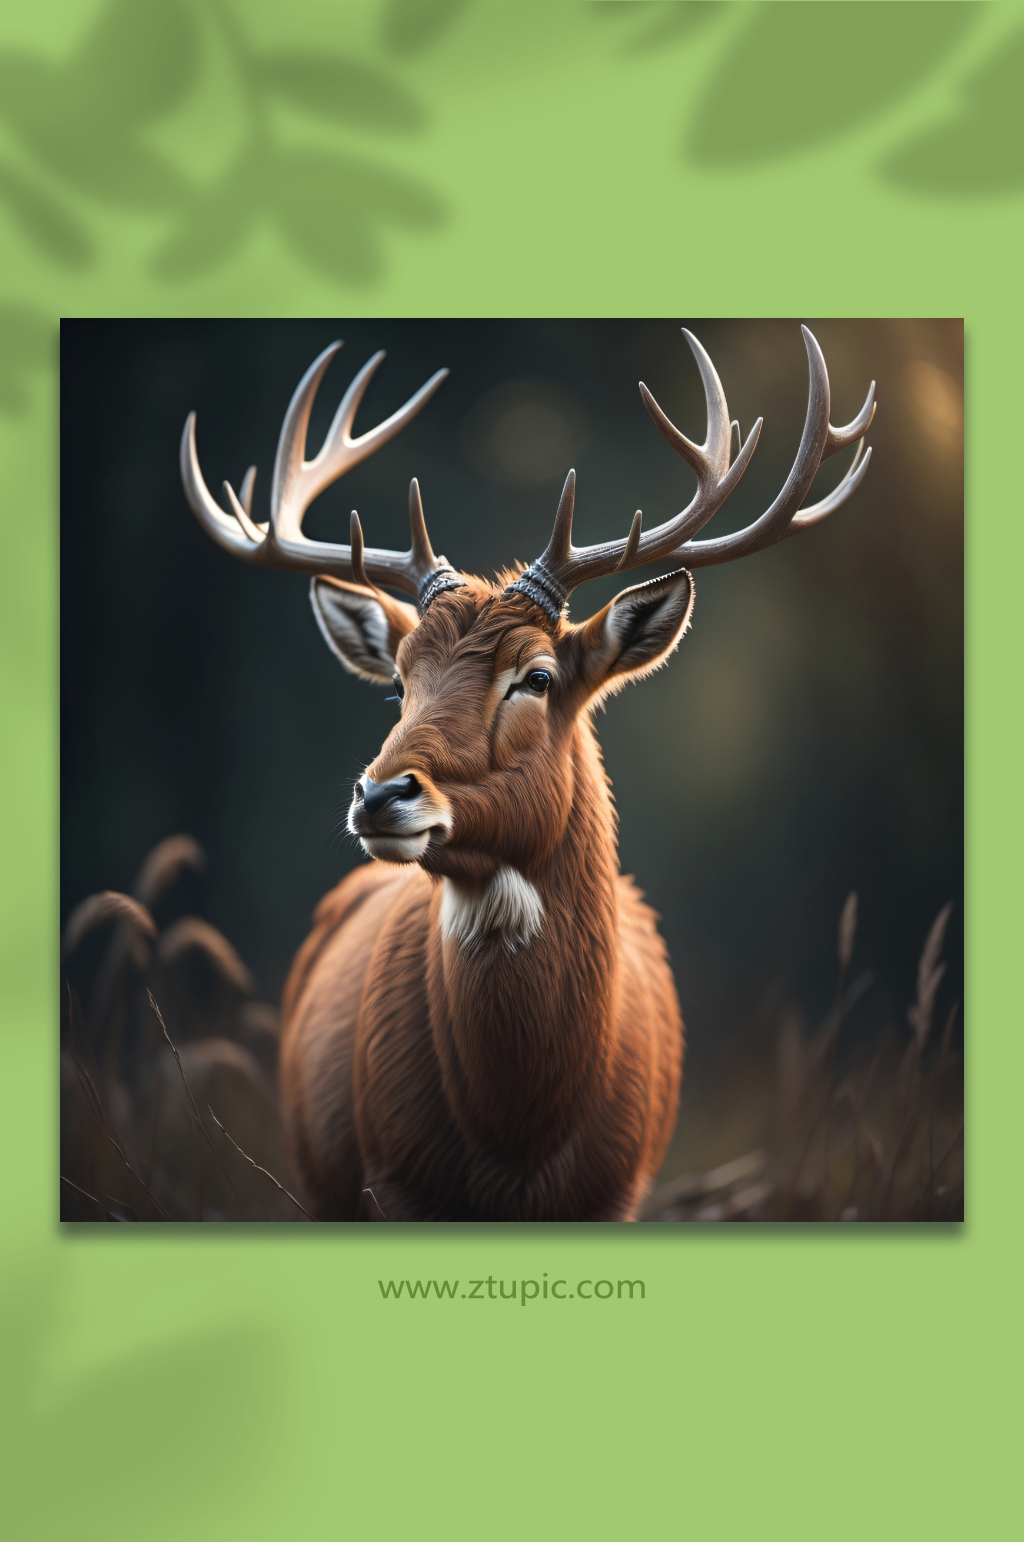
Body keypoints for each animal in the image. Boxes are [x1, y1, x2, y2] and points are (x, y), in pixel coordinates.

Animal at [180, 326, 875, 1220]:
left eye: (537, 677)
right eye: (397, 683)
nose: (379, 795)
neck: (519, 1133)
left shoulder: (617, 1188)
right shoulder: (393, 1180)